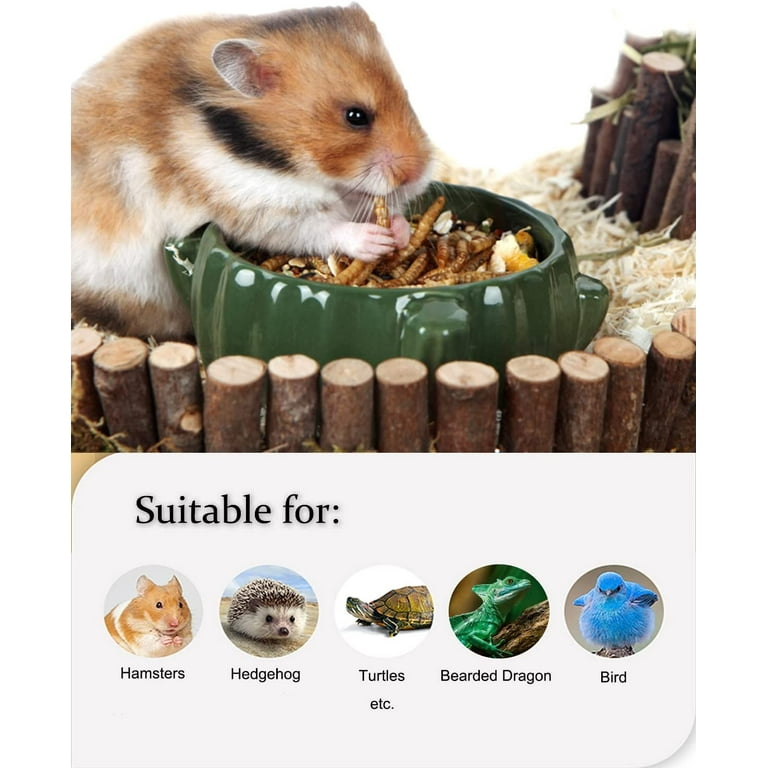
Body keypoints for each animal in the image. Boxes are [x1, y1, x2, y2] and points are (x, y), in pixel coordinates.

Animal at [71, 4, 434, 338]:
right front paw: (375, 240)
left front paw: (400, 231)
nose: (419, 176)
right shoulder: (259, 207)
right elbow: (320, 228)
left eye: (408, 97)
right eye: (356, 116)